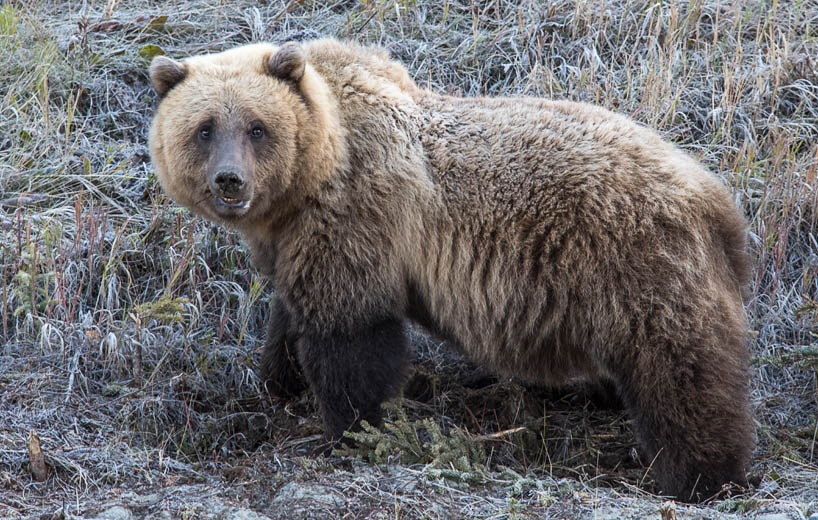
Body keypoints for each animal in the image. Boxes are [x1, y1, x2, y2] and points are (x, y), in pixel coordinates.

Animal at [148, 38, 752, 502]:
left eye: (256, 127)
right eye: (204, 128)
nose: (230, 181)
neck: (315, 170)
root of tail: (714, 197)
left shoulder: (359, 215)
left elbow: (352, 334)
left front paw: (355, 430)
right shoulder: (296, 239)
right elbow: (290, 312)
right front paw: (279, 378)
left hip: (634, 264)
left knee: (679, 373)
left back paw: (699, 477)